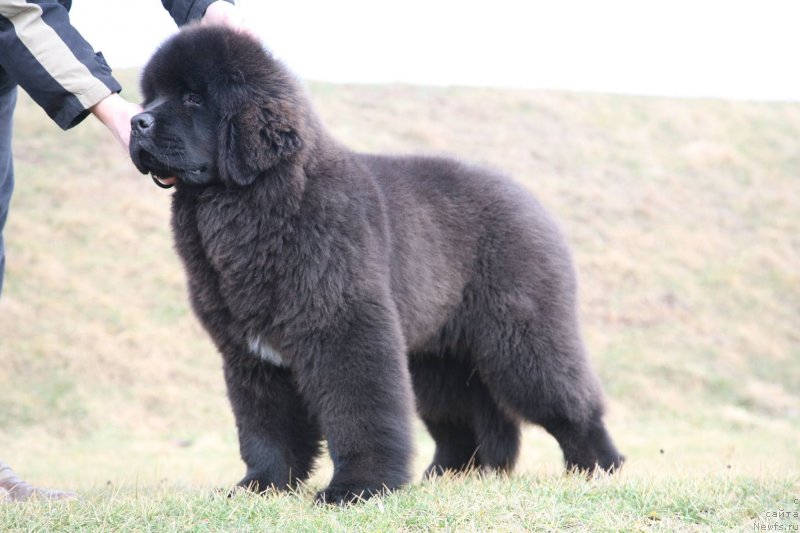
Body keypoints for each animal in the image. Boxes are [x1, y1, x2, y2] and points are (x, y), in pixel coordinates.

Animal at [128, 26, 620, 502]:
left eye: (193, 97)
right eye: (150, 97)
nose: (136, 121)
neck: (263, 204)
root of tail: (532, 201)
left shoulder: (344, 328)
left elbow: (360, 412)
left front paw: (358, 488)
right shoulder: (249, 353)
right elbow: (265, 426)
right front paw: (261, 485)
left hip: (522, 338)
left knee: (569, 401)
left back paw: (597, 468)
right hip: (438, 358)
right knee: (466, 418)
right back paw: (450, 476)